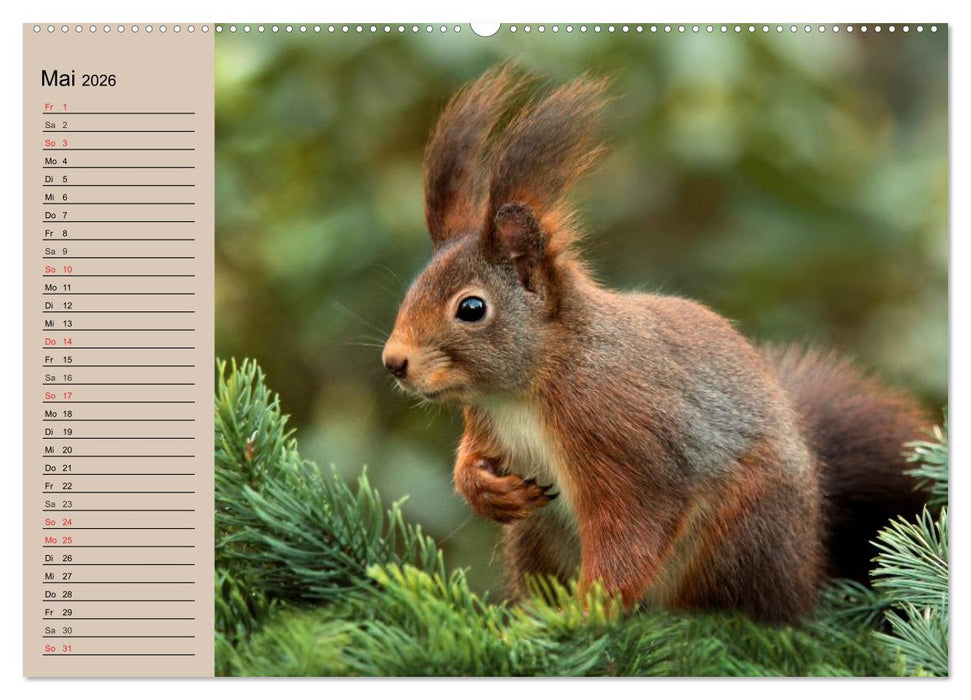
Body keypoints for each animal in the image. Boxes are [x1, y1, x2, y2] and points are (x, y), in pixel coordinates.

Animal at [381, 66, 930, 624]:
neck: (527, 388)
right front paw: (484, 489)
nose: (394, 362)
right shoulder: (487, 422)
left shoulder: (621, 437)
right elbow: (471, 459)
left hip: (741, 531)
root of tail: (806, 567)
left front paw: (587, 613)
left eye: (472, 308)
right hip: (536, 535)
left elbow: (631, 530)